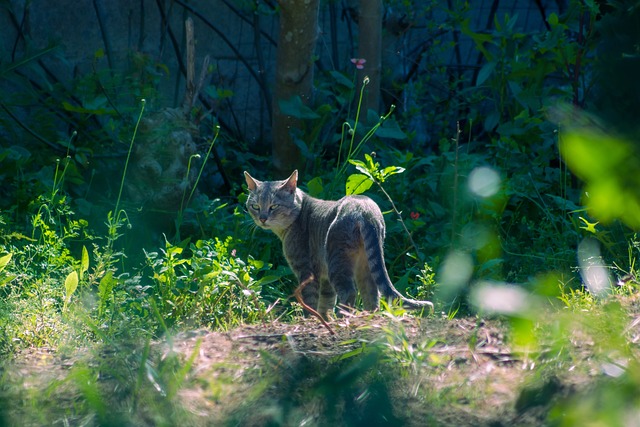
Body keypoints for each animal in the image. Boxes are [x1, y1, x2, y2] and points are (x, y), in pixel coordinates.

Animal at [242, 169, 432, 320]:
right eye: (255, 206)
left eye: (274, 206)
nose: (262, 218)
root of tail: (365, 210)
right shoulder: (324, 275)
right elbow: (326, 302)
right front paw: (324, 319)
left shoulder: (306, 270)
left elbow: (310, 300)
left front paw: (311, 320)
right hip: (364, 264)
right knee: (372, 293)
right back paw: (369, 317)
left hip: (337, 259)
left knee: (349, 292)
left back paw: (344, 318)